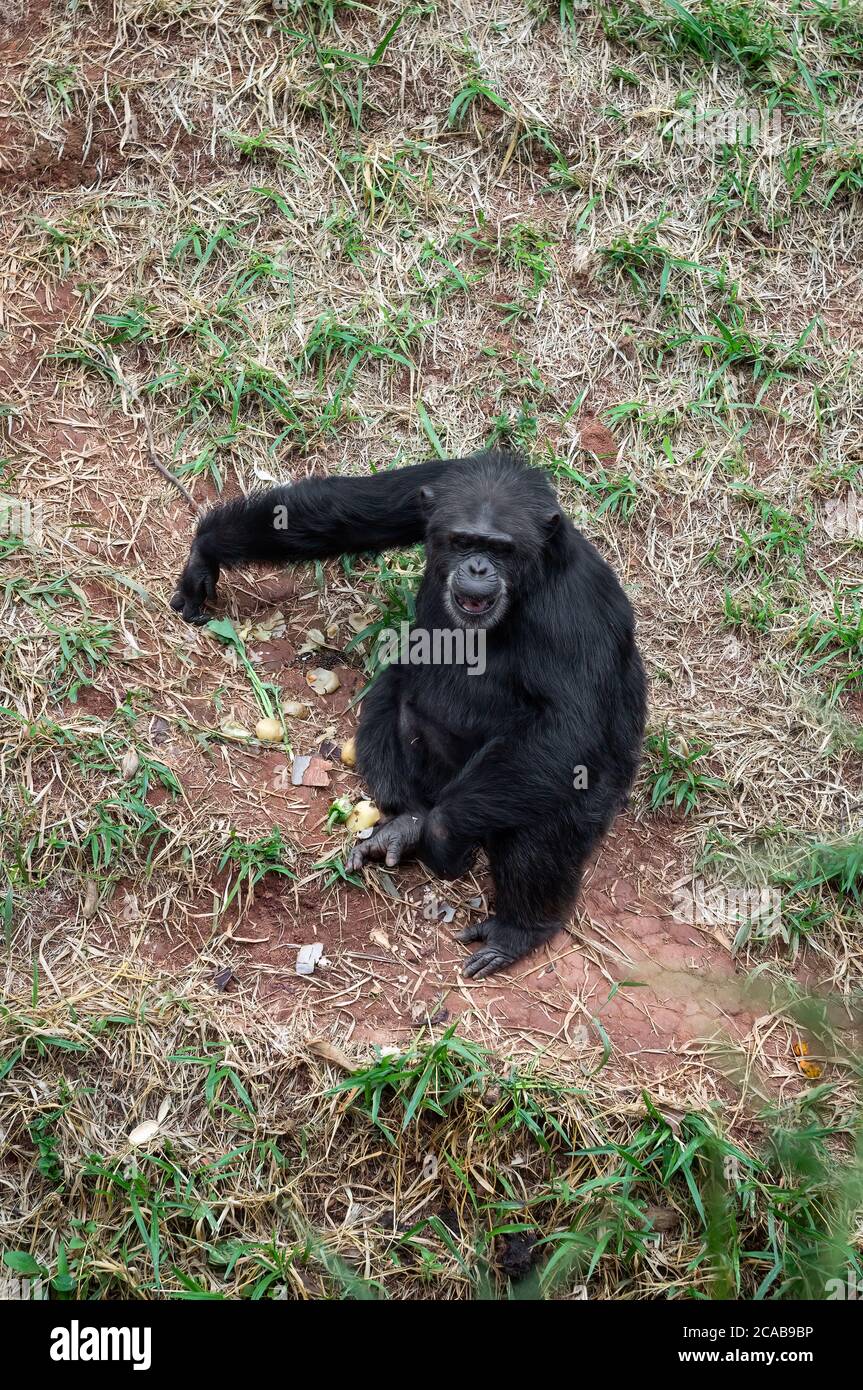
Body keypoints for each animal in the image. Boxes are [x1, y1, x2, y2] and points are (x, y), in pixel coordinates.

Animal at [171, 450, 642, 973]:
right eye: (463, 541)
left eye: (500, 549)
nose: (478, 566)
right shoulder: (432, 486)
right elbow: (341, 513)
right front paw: (205, 553)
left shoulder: (574, 606)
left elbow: (567, 722)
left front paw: (443, 835)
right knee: (396, 701)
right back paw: (407, 824)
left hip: (567, 794)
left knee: (547, 811)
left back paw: (516, 929)